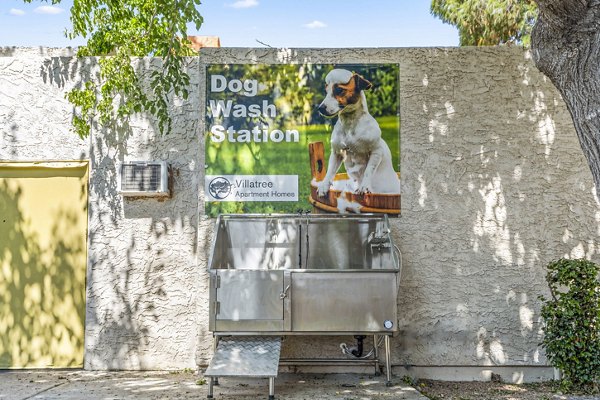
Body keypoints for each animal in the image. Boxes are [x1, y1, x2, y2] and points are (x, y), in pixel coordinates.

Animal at [316, 70, 400, 198]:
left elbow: (368, 170)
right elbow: (330, 171)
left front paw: (364, 187)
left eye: (339, 89)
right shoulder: (337, 153)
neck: (350, 124)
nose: (320, 108)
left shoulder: (376, 151)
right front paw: (324, 186)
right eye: (326, 90)